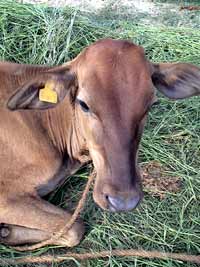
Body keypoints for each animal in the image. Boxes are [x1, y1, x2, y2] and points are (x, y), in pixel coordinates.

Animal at [0, 39, 200, 247]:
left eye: (150, 105)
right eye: (83, 104)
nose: (123, 201)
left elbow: (74, 229)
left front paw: (6, 231)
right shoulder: (6, 197)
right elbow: (75, 228)